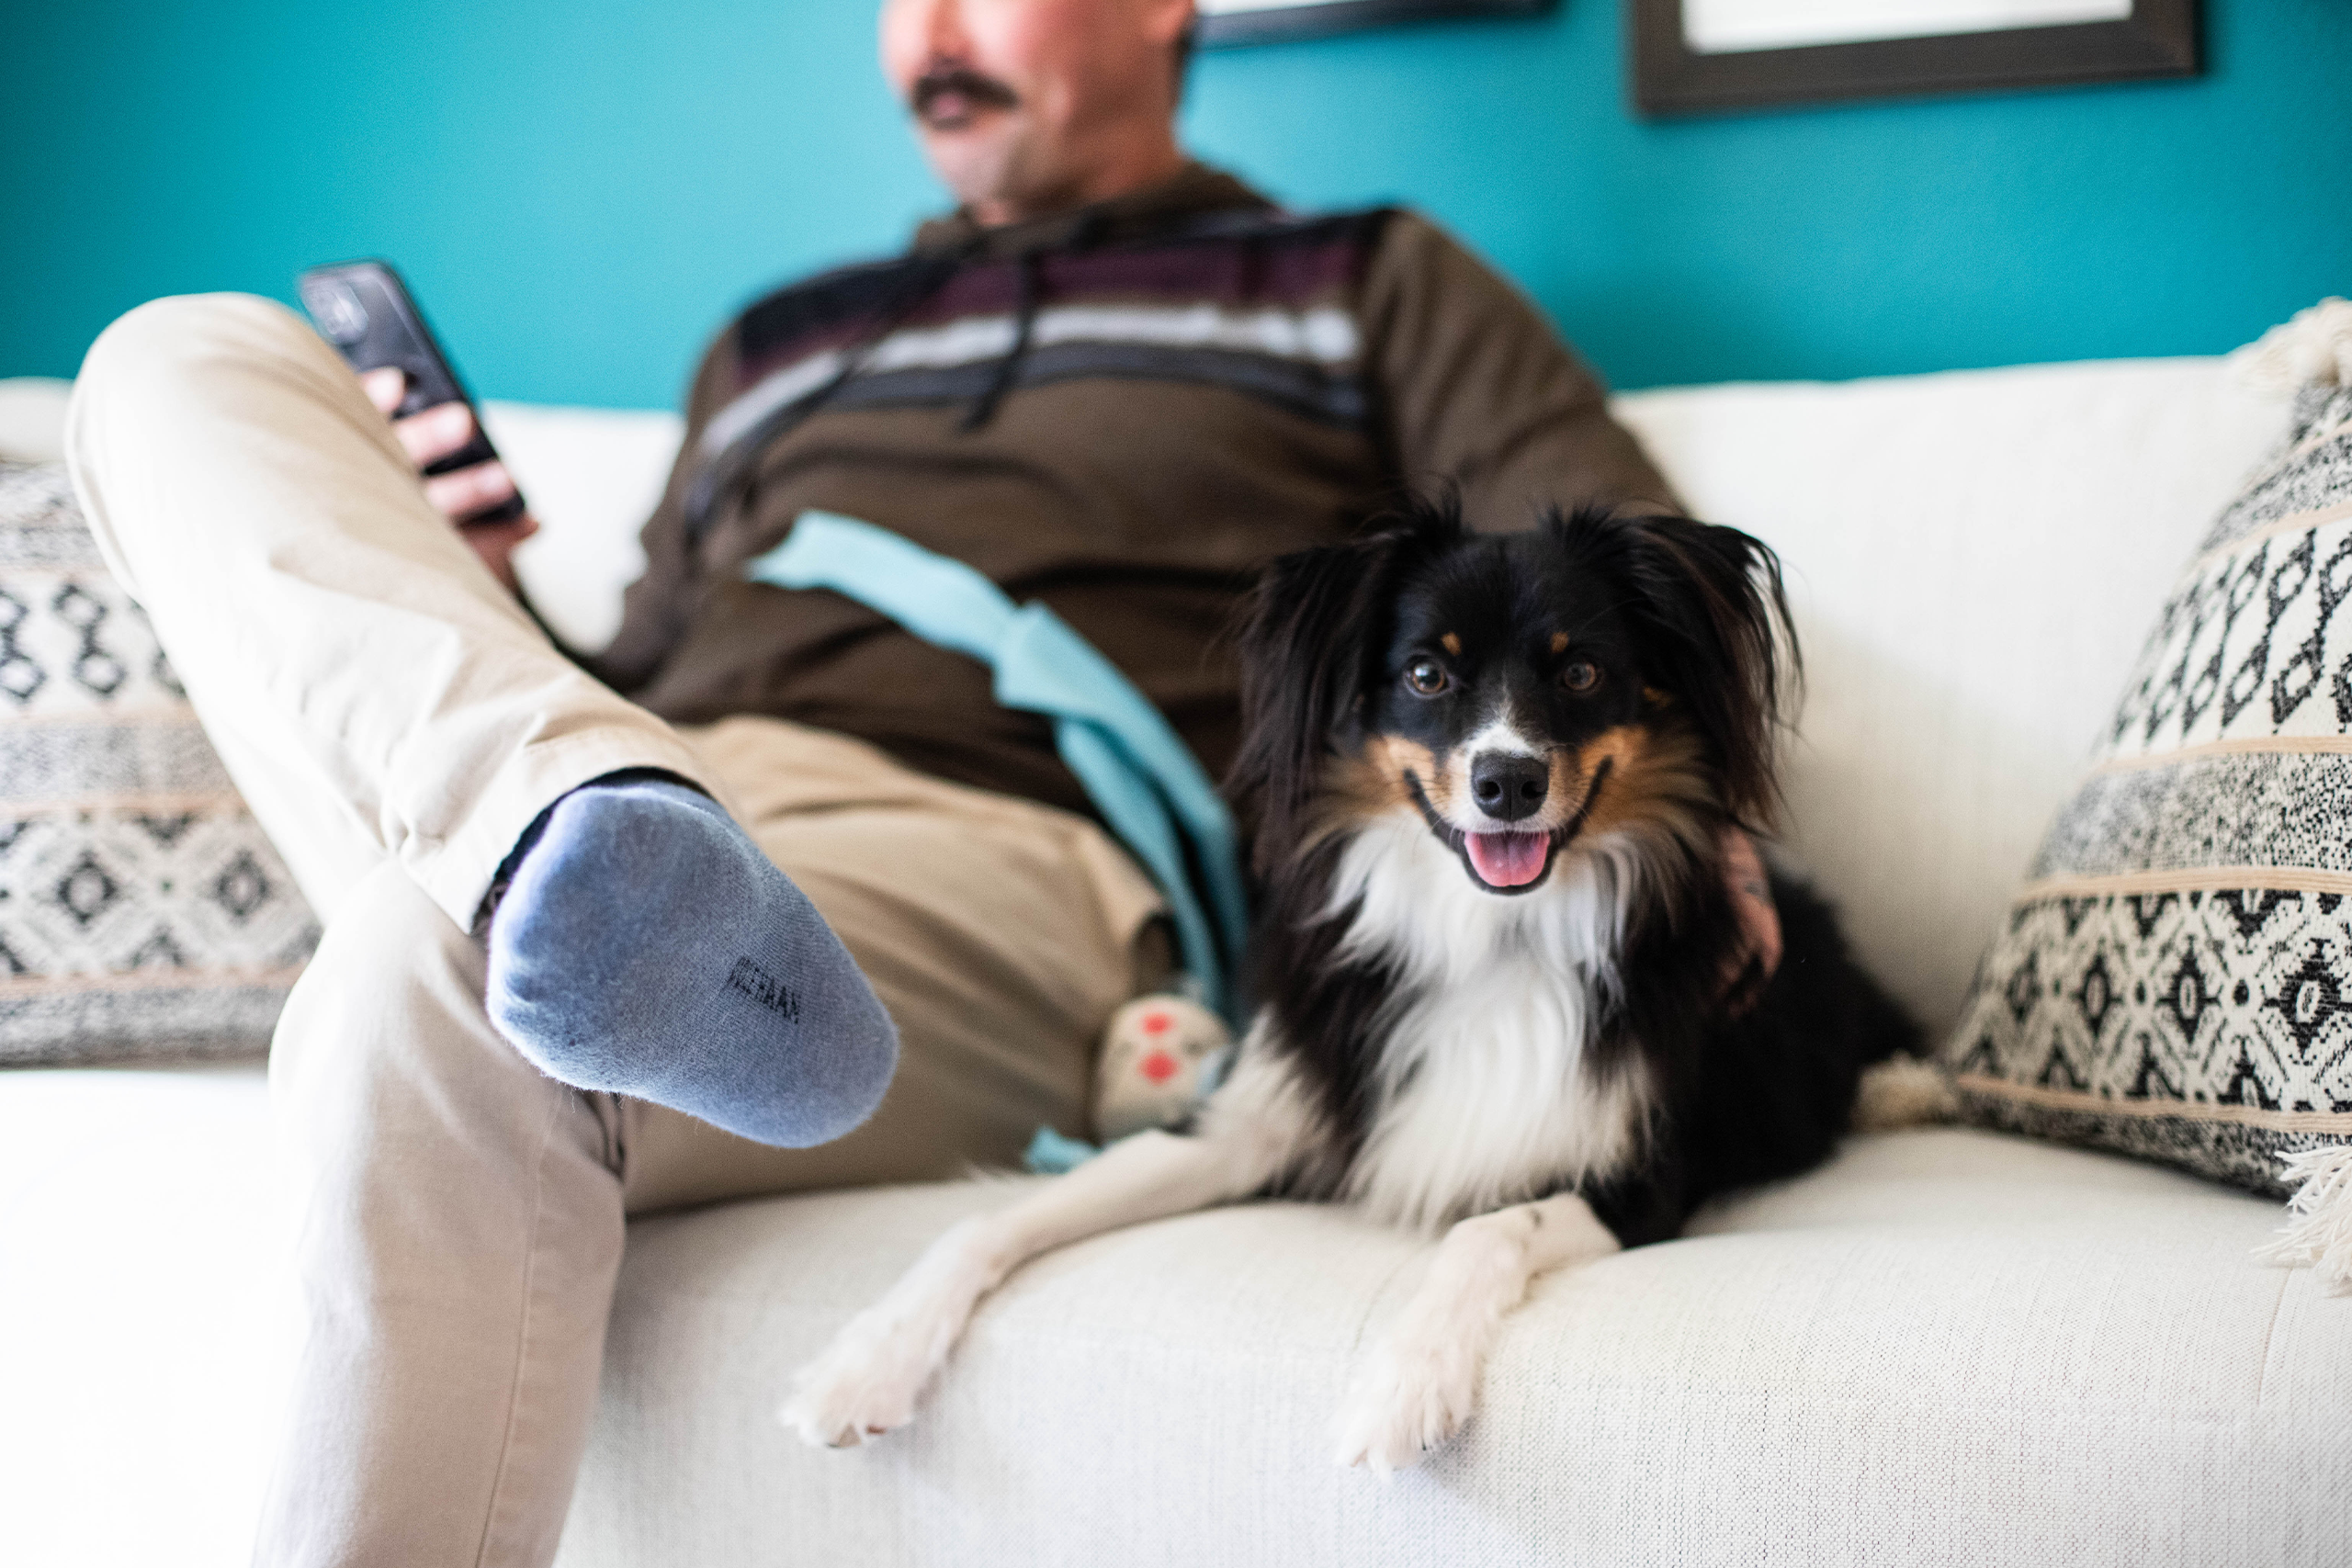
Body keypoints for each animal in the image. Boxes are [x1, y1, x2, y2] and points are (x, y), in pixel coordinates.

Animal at [780, 501, 1918, 1476]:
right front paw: (864, 1360)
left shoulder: (1641, 1180)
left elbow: (1482, 1227)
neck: (1489, 929)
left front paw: (1400, 1388)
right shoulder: (1247, 1121)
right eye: (1424, 675)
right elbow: (996, 1218)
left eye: (1584, 670)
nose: (1509, 781)